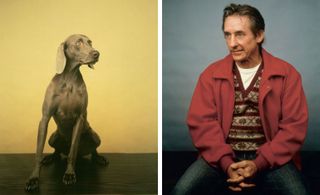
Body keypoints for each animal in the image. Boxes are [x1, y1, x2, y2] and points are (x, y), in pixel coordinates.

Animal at [25, 34, 108, 191]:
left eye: (90, 42)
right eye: (78, 43)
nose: (97, 53)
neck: (69, 78)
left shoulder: (79, 119)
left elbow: (72, 151)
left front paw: (69, 174)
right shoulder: (45, 118)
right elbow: (38, 151)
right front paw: (33, 178)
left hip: (95, 137)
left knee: (92, 149)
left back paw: (98, 158)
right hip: (53, 137)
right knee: (57, 150)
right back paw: (51, 157)